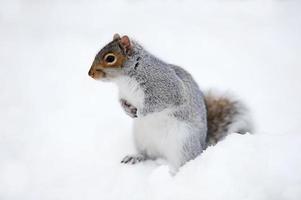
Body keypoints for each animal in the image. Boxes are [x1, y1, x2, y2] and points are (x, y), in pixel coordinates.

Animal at [88, 33, 252, 171]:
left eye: (110, 58)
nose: (90, 74)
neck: (124, 80)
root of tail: (201, 147)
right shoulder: (124, 94)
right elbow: (121, 101)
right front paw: (127, 110)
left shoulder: (166, 88)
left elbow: (158, 103)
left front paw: (141, 112)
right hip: (142, 139)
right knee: (148, 155)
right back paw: (136, 157)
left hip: (183, 144)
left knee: (182, 163)